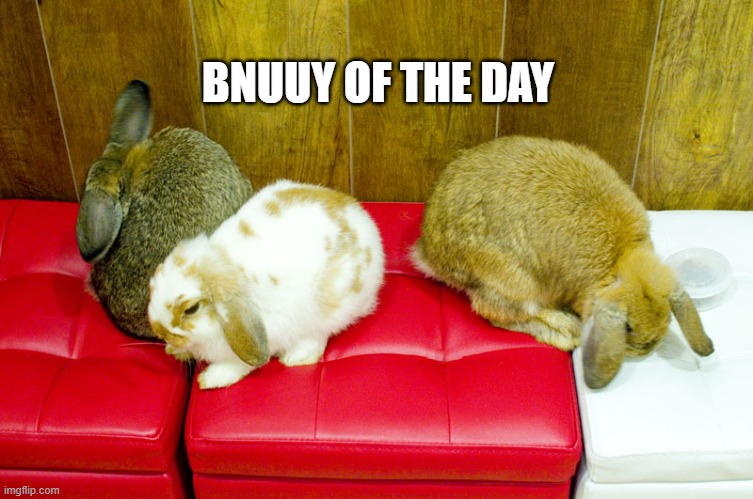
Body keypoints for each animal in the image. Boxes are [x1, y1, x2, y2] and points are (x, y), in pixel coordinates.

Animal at [147, 179, 385, 389]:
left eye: (192, 309)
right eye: (152, 285)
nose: (160, 332)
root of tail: (360, 214)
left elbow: (237, 363)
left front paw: (211, 379)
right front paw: (174, 351)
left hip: (330, 306)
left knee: (320, 333)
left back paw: (296, 357)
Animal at [411, 135, 714, 388]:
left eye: (667, 315)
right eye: (628, 327)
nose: (647, 348)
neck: (620, 259)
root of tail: (429, 252)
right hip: (513, 279)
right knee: (496, 312)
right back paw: (566, 329)